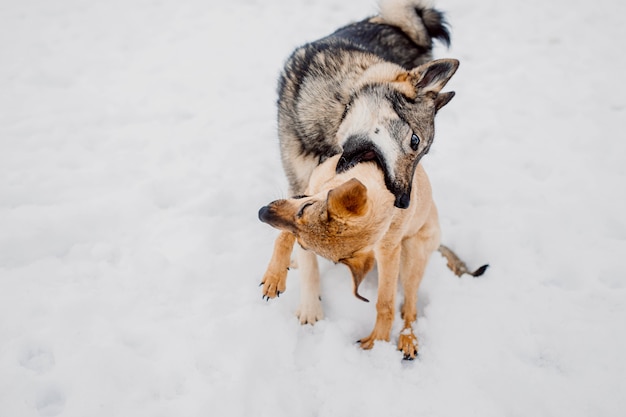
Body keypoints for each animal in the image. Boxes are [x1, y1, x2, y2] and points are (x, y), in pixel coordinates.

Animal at [256, 155, 486, 358]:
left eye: (305, 209)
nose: (262, 213)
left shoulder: (389, 250)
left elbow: (385, 303)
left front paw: (378, 340)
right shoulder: (309, 188)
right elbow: (283, 237)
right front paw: (274, 277)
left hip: (412, 253)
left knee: (410, 307)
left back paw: (408, 338)